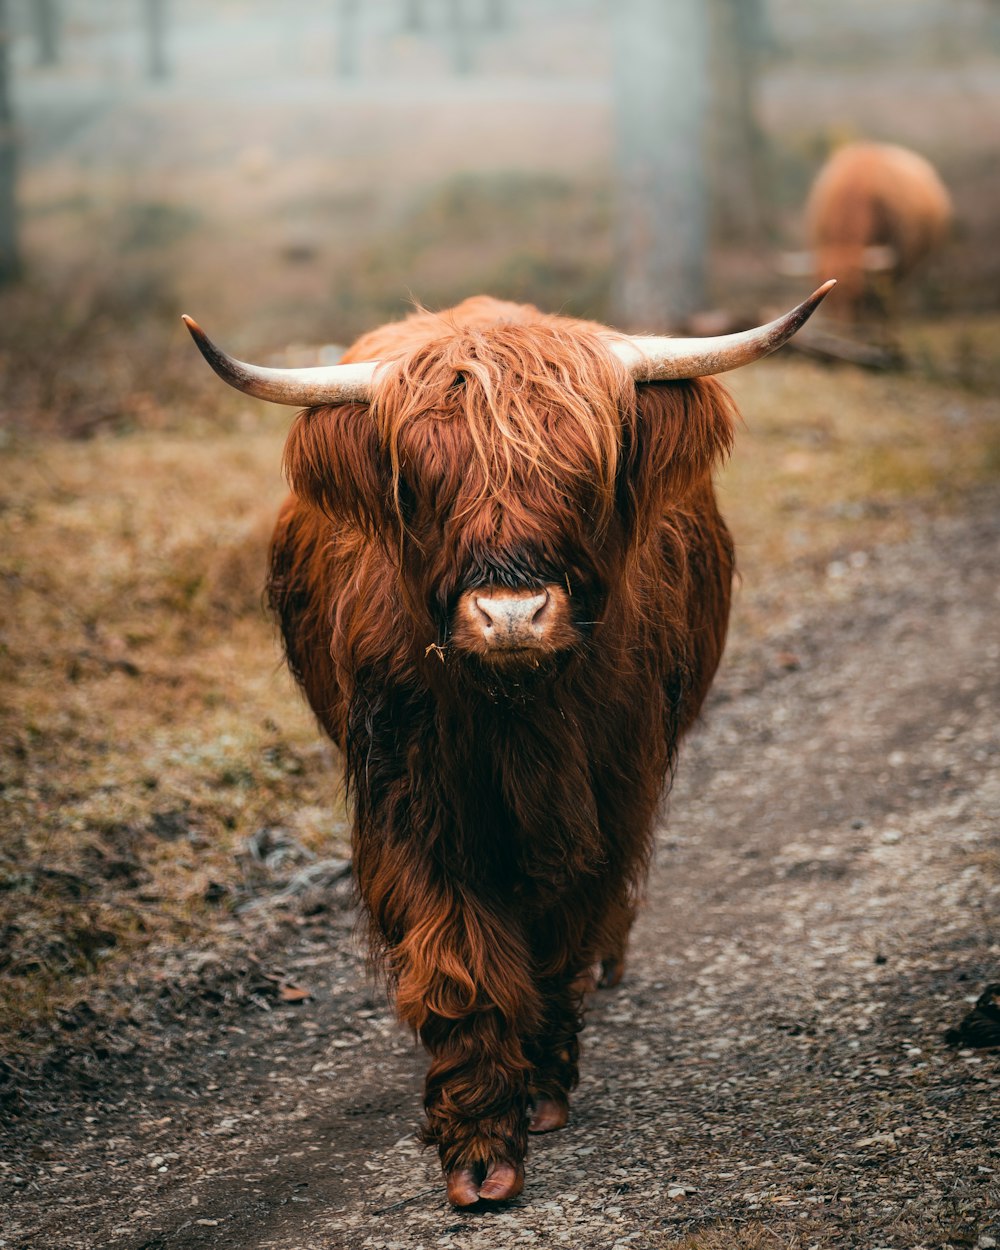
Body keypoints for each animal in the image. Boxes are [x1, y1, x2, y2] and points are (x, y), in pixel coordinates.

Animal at [183, 281, 830, 1200]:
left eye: (584, 476)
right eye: (420, 483)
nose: (511, 614)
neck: (519, 713)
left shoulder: (610, 790)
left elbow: (566, 929)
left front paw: (546, 1081)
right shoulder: (410, 791)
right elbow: (458, 958)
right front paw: (480, 1144)